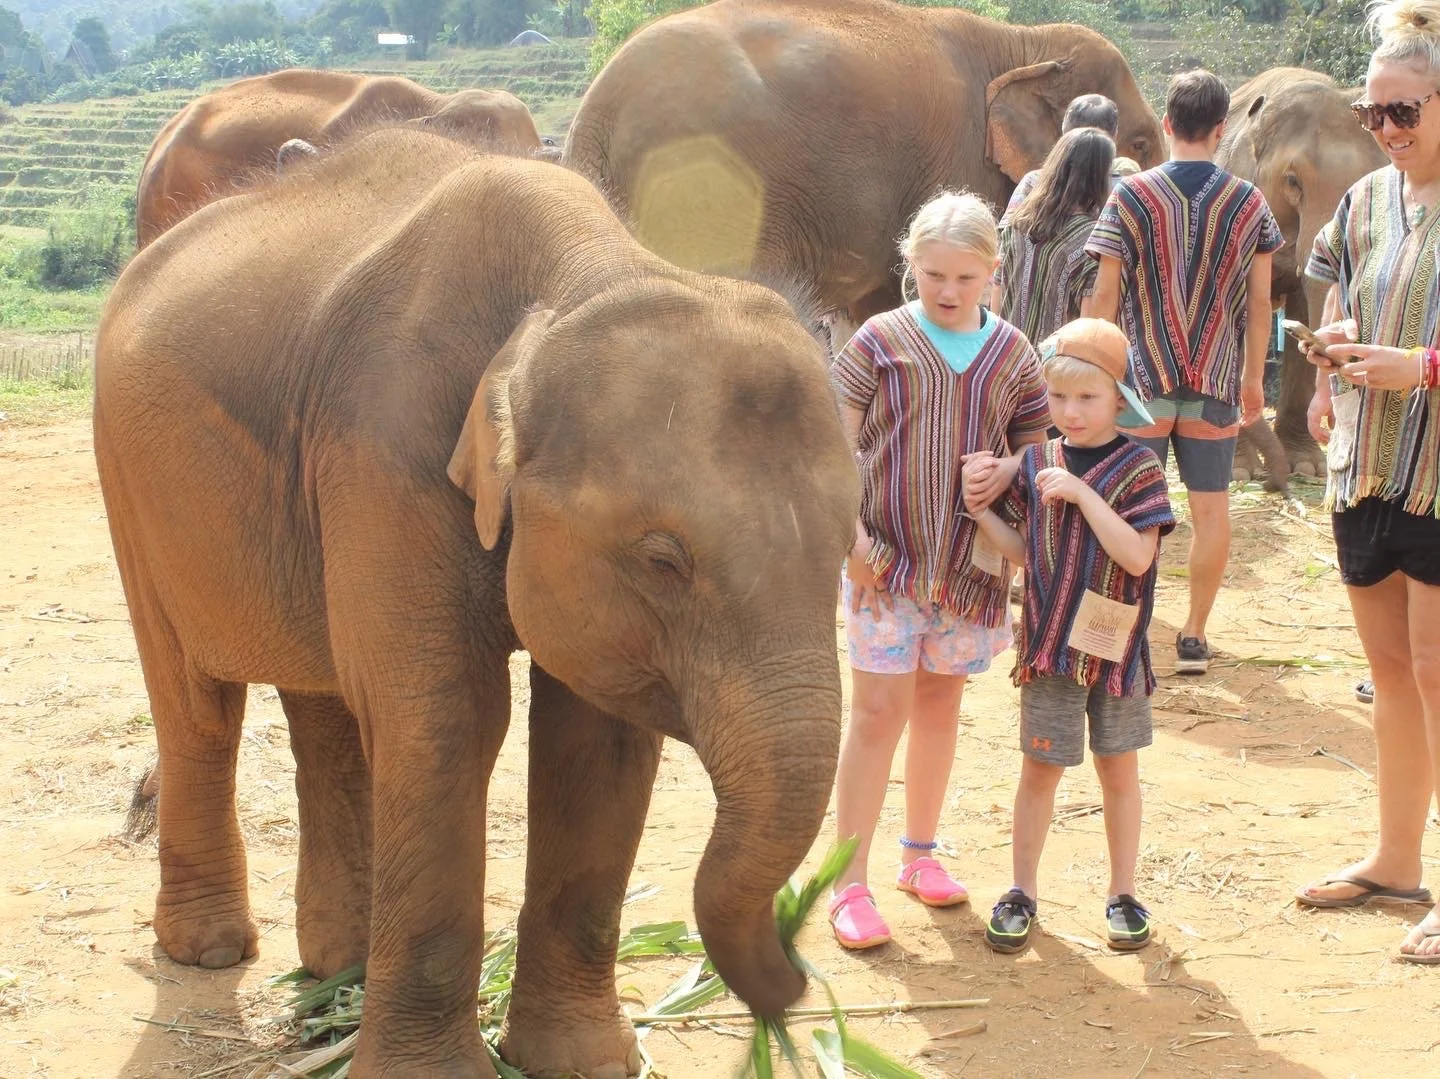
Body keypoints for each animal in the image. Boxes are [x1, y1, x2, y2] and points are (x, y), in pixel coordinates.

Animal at [95, 128, 858, 1077]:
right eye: (662, 559)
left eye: (849, 546)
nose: (793, 977)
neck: (582, 274)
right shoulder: (382, 444)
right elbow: (445, 718)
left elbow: (596, 740)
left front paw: (581, 1062)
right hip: (126, 477)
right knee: (196, 705)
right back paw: (209, 951)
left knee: (326, 710)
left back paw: (340, 968)